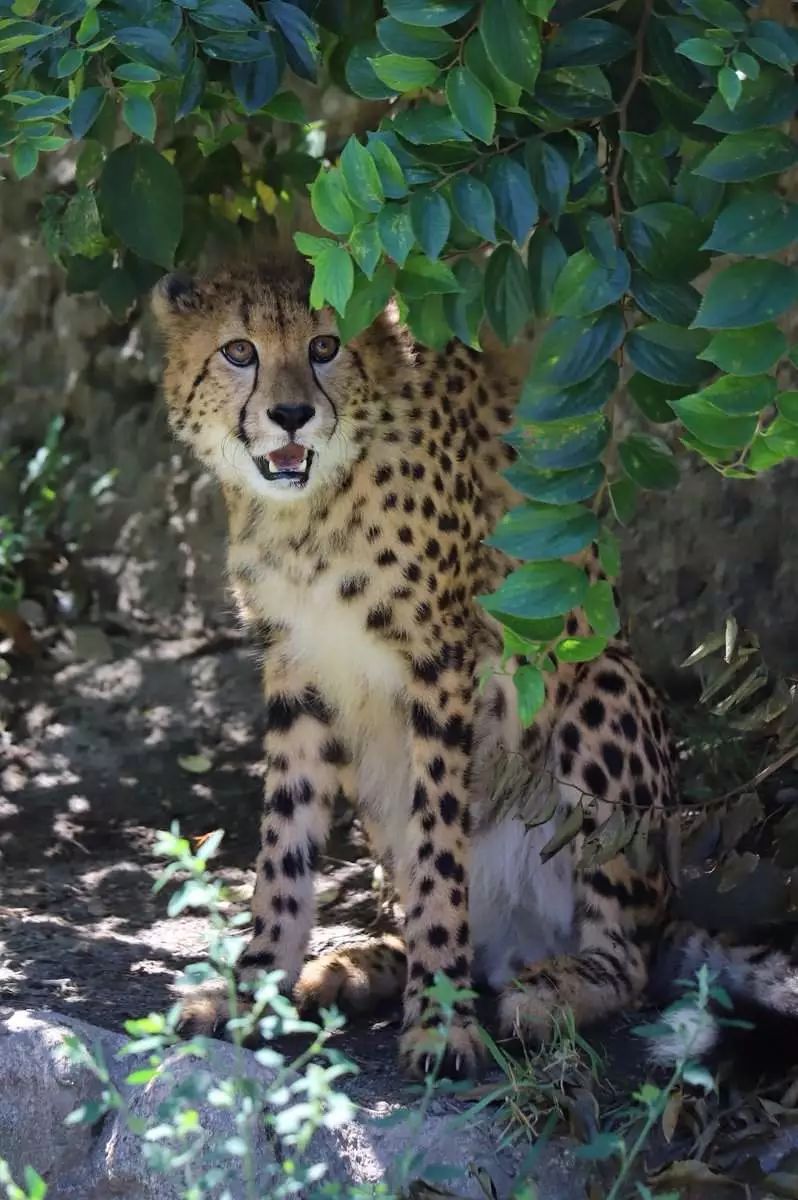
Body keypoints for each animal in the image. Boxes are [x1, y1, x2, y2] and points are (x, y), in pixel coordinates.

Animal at [151, 255, 676, 1080]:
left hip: (604, 689)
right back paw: (353, 968)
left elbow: (439, 849)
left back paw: (547, 991)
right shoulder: (297, 667)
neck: (309, 507)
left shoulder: (443, 661)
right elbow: (283, 844)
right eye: (239, 351)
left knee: (627, 959)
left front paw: (438, 1019)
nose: (291, 414)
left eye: (325, 345)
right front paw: (255, 983)